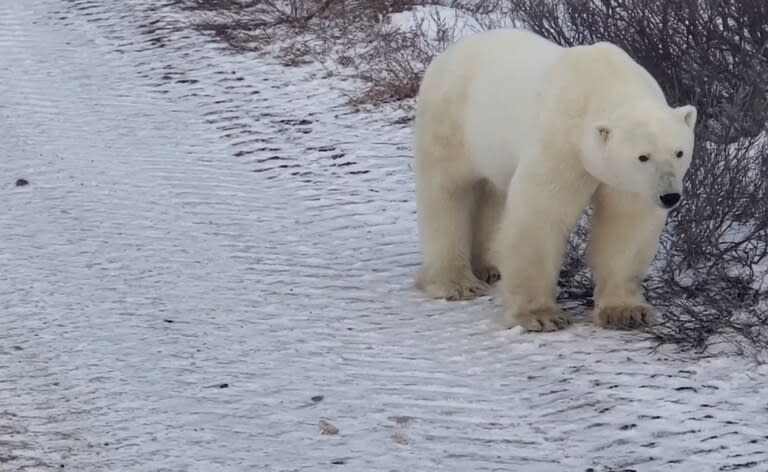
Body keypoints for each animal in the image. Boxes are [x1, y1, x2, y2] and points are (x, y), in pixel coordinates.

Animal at [414, 28, 696, 332]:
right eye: (643, 156)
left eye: (679, 152)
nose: (669, 196)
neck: (605, 81)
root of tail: (449, 52)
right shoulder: (562, 143)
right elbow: (541, 216)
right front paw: (540, 315)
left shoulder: (628, 182)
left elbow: (626, 224)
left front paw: (625, 311)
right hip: (452, 121)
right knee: (447, 192)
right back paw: (456, 282)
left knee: (491, 193)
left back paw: (488, 268)